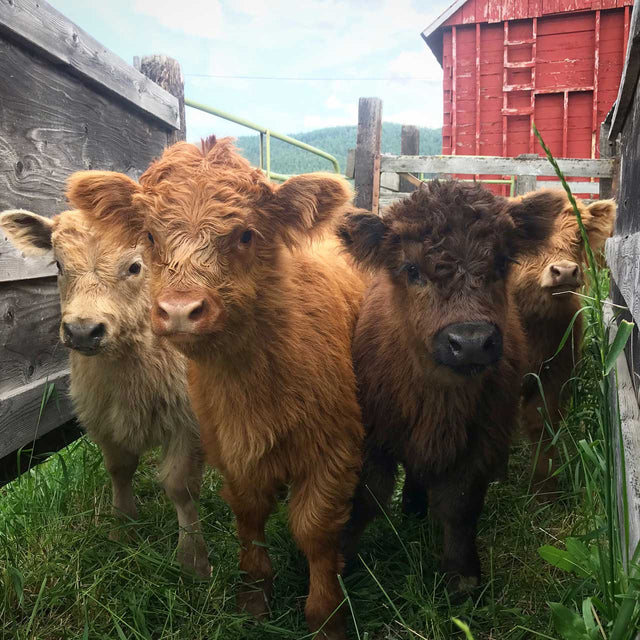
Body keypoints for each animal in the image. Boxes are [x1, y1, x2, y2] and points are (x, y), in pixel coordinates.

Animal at [0, 206, 210, 576]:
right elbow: (120, 471)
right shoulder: (103, 419)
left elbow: (180, 487)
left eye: (135, 266)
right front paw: (122, 528)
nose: (83, 331)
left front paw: (192, 559)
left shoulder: (188, 423)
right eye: (58, 265)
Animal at [67, 136, 368, 640]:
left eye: (245, 234)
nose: (180, 310)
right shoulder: (227, 445)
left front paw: (326, 616)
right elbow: (248, 514)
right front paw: (253, 595)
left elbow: (315, 530)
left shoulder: (334, 450)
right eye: (150, 237)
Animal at [338, 181, 564, 592]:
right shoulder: (373, 439)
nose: (471, 341)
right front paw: (339, 567)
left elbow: (460, 506)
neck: (438, 401)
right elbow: (364, 499)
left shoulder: (479, 443)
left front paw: (463, 579)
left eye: (502, 263)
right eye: (411, 268)